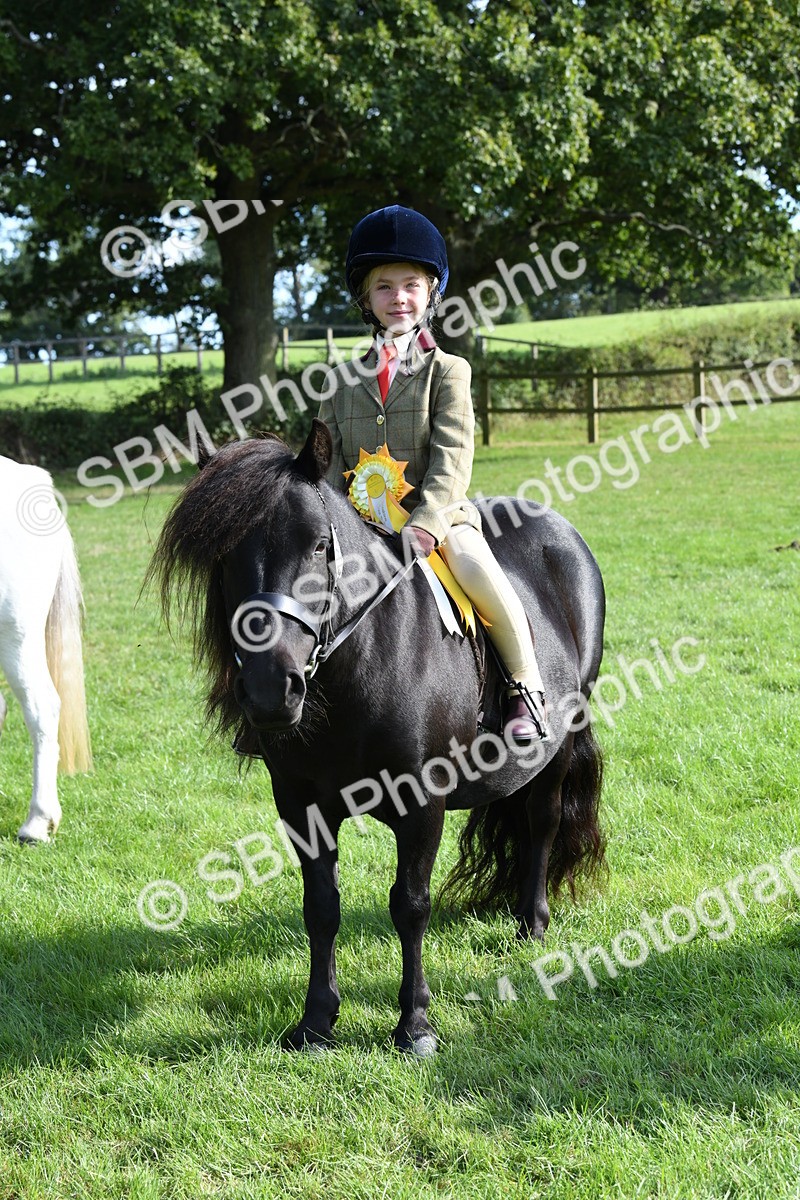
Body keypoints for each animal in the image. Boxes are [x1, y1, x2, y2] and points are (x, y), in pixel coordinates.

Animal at [149, 420, 605, 1055]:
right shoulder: (301, 807)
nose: (269, 689)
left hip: (562, 738)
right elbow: (321, 907)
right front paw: (316, 1021)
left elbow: (410, 905)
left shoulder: (422, 805)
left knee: (543, 819)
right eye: (223, 554)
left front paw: (415, 1024)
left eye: (319, 544)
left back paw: (531, 922)